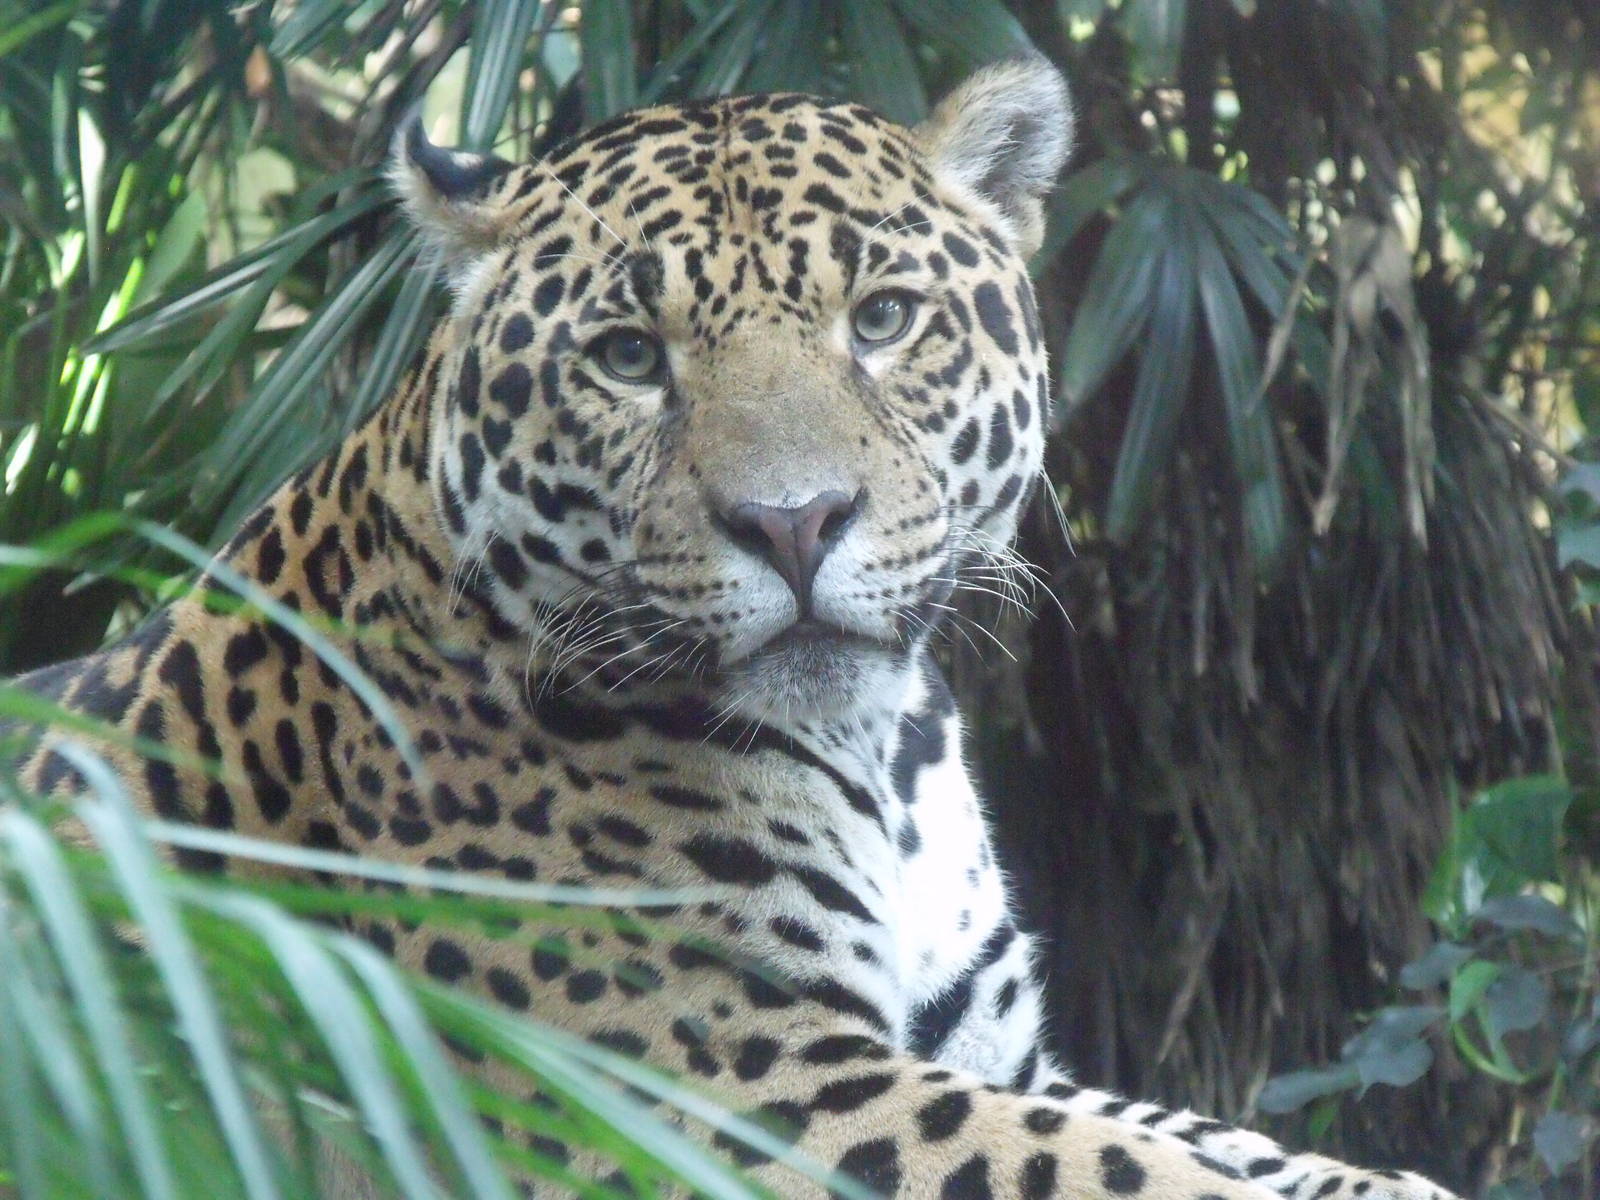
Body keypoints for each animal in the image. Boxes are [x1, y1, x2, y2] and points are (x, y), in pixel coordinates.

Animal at [6, 57, 1459, 1200]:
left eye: (883, 319)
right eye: (627, 357)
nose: (795, 523)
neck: (882, 756)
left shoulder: (993, 1052)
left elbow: (1213, 1140)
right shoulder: (725, 1088)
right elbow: (1120, 1169)